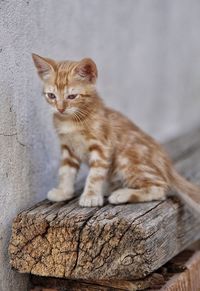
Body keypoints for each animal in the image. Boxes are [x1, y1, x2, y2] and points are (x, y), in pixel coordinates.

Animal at [31, 53, 200, 212]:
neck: (72, 120)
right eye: (51, 96)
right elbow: (66, 171)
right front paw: (64, 192)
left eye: (72, 96)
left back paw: (122, 194)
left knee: (160, 187)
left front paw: (91, 196)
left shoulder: (102, 145)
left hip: (127, 158)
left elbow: (95, 174)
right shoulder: (68, 147)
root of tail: (168, 167)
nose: (60, 109)